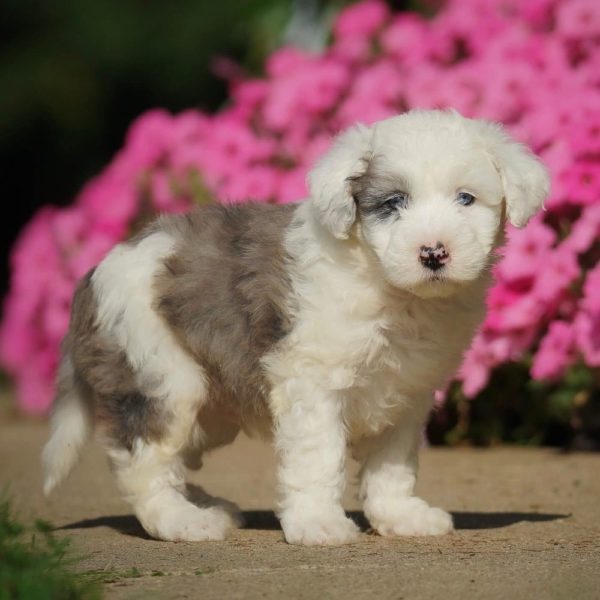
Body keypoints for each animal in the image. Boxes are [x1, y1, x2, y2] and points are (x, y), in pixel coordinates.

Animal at [41, 110, 548, 548]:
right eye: (393, 204)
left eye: (466, 198)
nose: (433, 253)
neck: (388, 285)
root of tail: (93, 276)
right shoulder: (312, 383)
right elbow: (318, 458)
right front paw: (319, 525)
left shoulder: (406, 393)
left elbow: (392, 463)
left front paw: (401, 516)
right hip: (163, 379)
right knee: (142, 461)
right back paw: (183, 521)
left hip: (211, 406)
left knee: (174, 458)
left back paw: (205, 504)